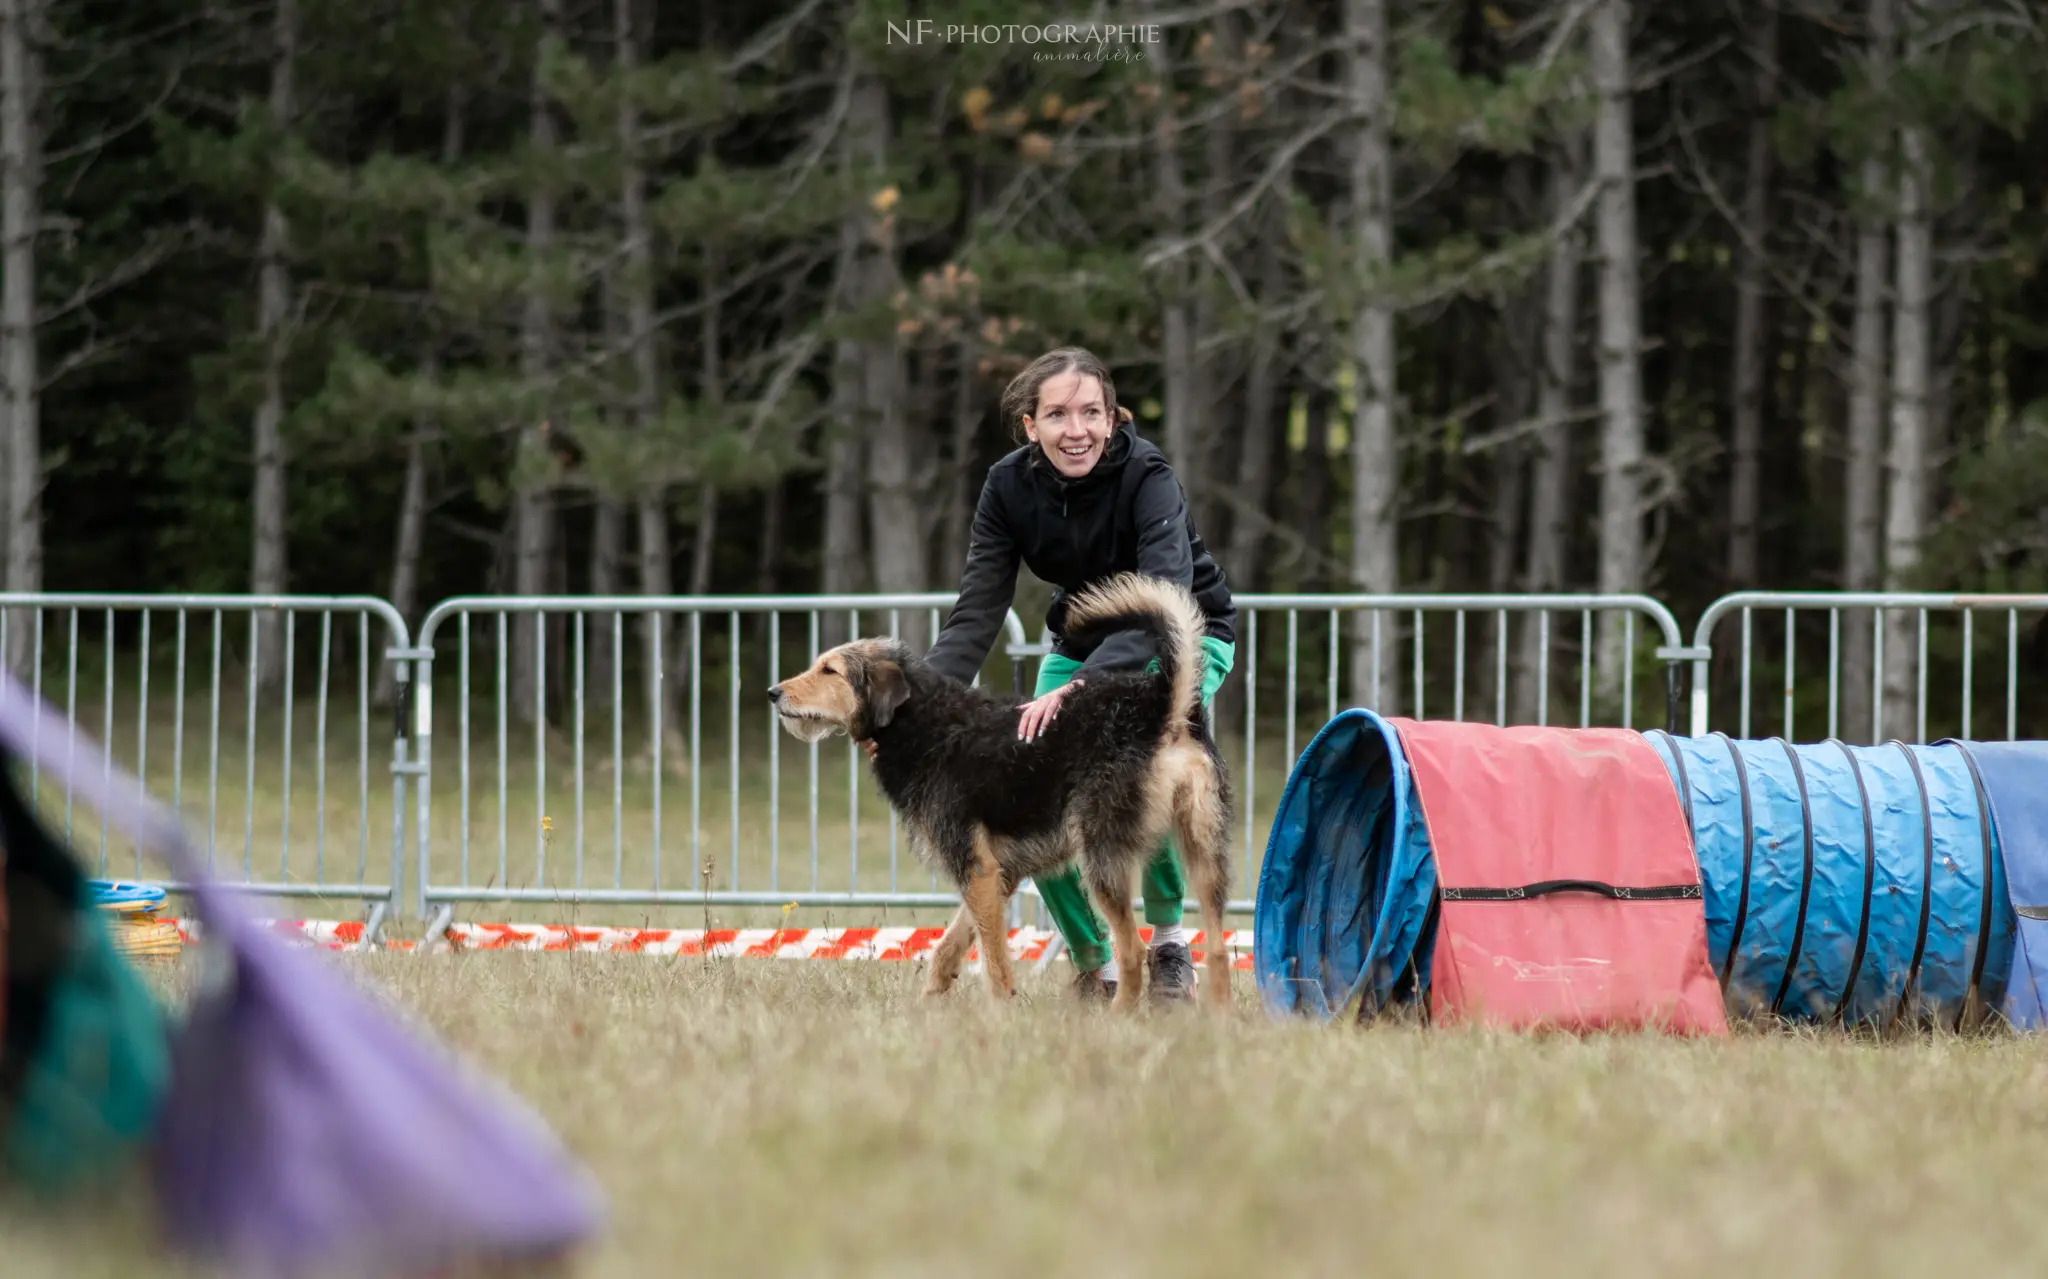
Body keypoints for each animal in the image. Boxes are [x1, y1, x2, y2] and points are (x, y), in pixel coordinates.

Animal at [761, 577, 1220, 1006]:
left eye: (830, 671)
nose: (773, 693)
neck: (923, 723)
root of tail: (1158, 706)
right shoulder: (996, 872)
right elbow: (952, 943)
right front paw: (929, 1003)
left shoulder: (975, 867)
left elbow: (994, 959)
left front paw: (998, 1013)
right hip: (1204, 850)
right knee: (1216, 949)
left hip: (1103, 859)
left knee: (1134, 950)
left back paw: (1121, 1015)